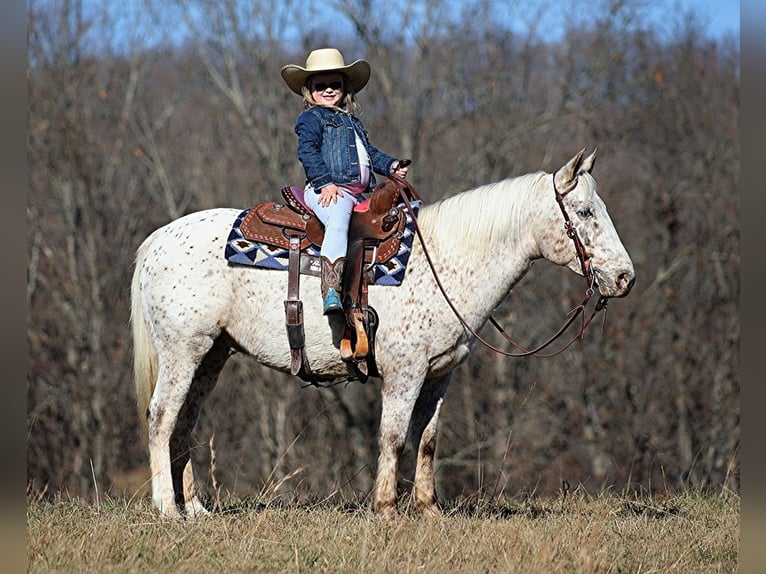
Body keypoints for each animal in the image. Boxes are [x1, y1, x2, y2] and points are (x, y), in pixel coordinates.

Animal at [130, 150, 636, 520]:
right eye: (584, 211)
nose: (625, 278)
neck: (444, 264)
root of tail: (157, 240)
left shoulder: (439, 374)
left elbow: (427, 440)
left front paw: (430, 512)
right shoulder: (404, 373)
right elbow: (392, 436)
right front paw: (387, 509)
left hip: (212, 355)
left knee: (186, 422)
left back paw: (196, 509)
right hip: (183, 351)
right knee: (162, 417)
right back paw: (167, 509)